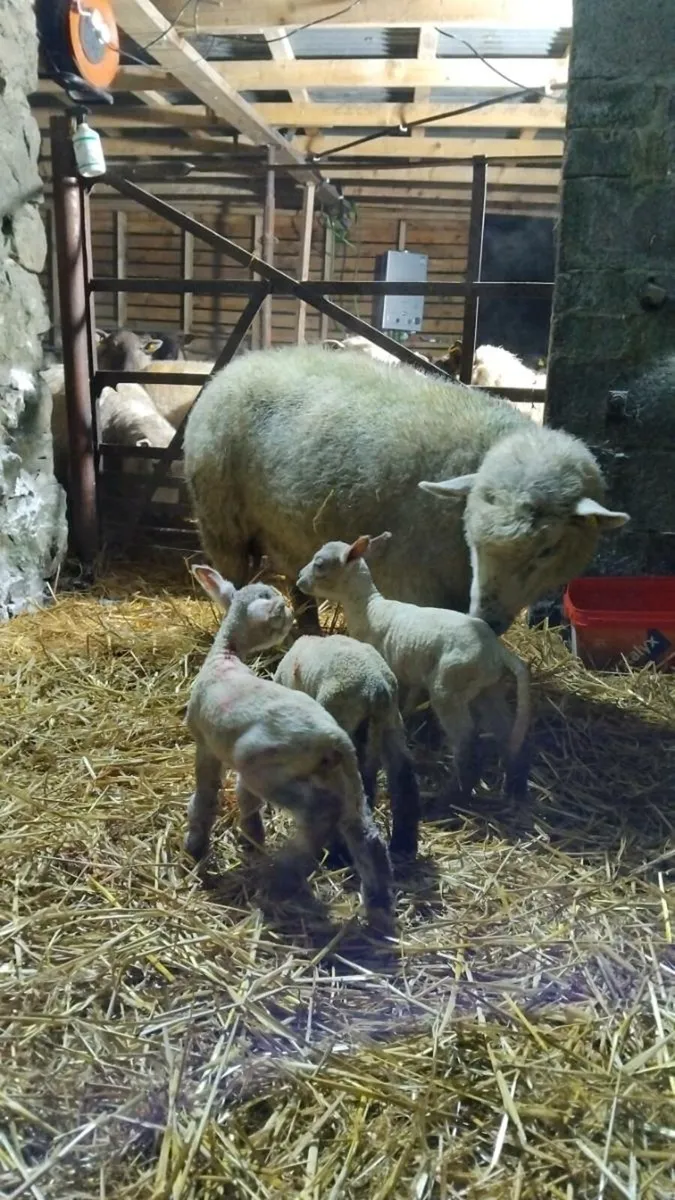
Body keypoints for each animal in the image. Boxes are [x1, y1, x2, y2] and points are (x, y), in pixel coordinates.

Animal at [182, 344, 629, 637]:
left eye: (548, 549)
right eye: (473, 538)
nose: (487, 619)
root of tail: (244, 361)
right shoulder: (415, 579)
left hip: (289, 531)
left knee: (299, 585)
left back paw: (309, 632)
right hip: (222, 522)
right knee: (233, 583)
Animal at [186, 565, 394, 933]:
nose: (286, 617)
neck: (225, 656)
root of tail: (334, 738)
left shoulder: (206, 744)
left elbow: (206, 797)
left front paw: (195, 846)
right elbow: (245, 799)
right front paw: (251, 838)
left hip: (269, 768)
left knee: (319, 811)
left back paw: (285, 872)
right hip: (344, 775)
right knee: (365, 834)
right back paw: (378, 905)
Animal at [274, 634, 420, 859]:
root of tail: (376, 690)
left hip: (343, 721)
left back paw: (336, 853)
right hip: (391, 720)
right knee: (403, 775)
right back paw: (403, 844)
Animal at [296, 535, 531, 805]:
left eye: (320, 565)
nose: (299, 580)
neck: (367, 608)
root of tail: (496, 649)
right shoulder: (409, 677)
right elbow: (407, 705)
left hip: (448, 688)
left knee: (467, 742)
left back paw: (447, 797)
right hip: (486, 688)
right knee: (505, 727)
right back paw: (514, 785)